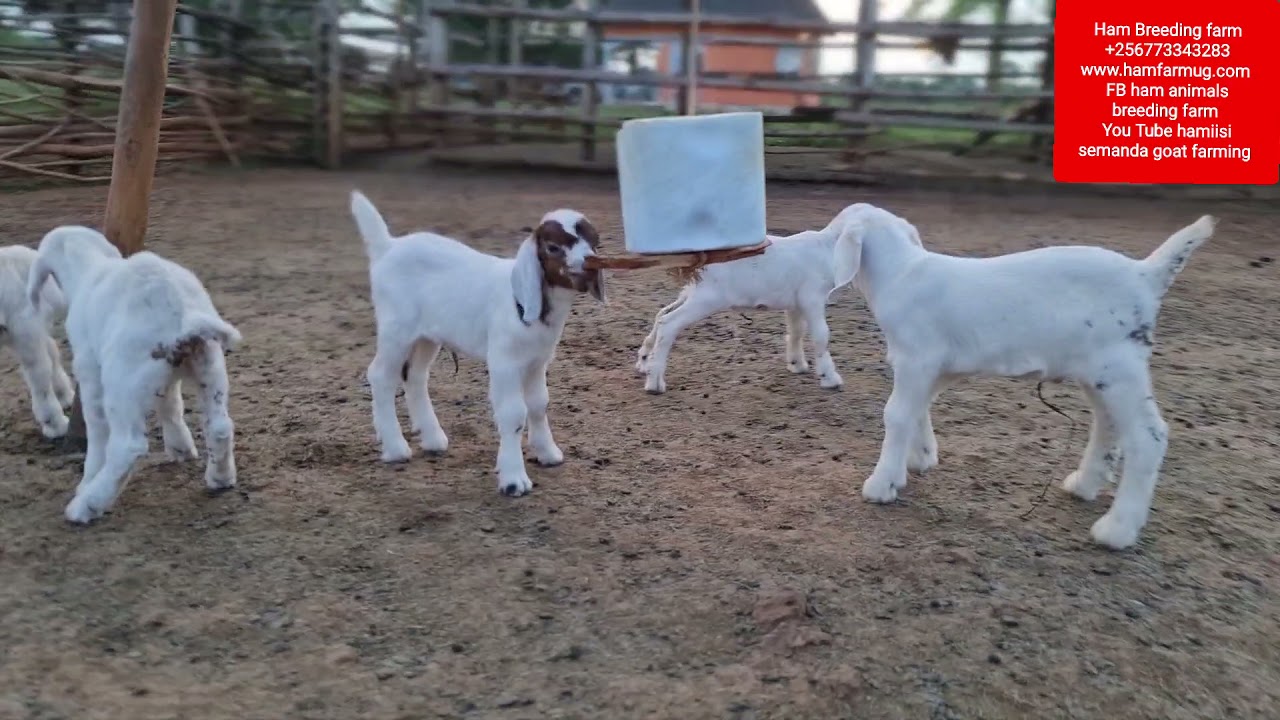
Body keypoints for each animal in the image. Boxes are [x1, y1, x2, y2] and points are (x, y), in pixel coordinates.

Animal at [28, 226, 241, 524]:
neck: (91, 266)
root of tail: (180, 313)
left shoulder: (90, 372)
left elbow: (97, 431)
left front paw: (87, 479)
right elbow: (171, 404)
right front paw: (181, 448)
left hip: (122, 384)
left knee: (128, 446)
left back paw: (86, 506)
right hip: (209, 367)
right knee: (220, 427)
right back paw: (220, 478)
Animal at [349, 191, 606, 497]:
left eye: (595, 241)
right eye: (553, 247)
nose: (590, 266)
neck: (524, 303)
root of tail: (388, 247)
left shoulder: (537, 361)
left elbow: (538, 404)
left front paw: (548, 453)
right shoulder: (504, 362)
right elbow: (513, 413)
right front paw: (513, 480)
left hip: (426, 336)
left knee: (415, 376)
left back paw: (433, 439)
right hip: (395, 328)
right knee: (381, 375)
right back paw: (396, 447)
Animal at [634, 209, 885, 394]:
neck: (828, 248)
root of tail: (698, 257)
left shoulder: (796, 301)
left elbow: (796, 331)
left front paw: (797, 364)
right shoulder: (812, 297)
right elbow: (822, 334)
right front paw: (830, 378)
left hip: (692, 292)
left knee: (661, 315)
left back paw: (645, 361)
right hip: (708, 297)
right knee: (669, 323)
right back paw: (655, 382)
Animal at [833, 203, 1216, 550]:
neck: (901, 274)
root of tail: (1145, 274)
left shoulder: (917, 358)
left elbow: (897, 414)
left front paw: (880, 485)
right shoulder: (932, 367)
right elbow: (917, 410)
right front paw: (917, 461)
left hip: (1119, 365)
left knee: (1148, 436)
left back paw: (1117, 530)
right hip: (1099, 371)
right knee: (1108, 423)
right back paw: (1084, 485)